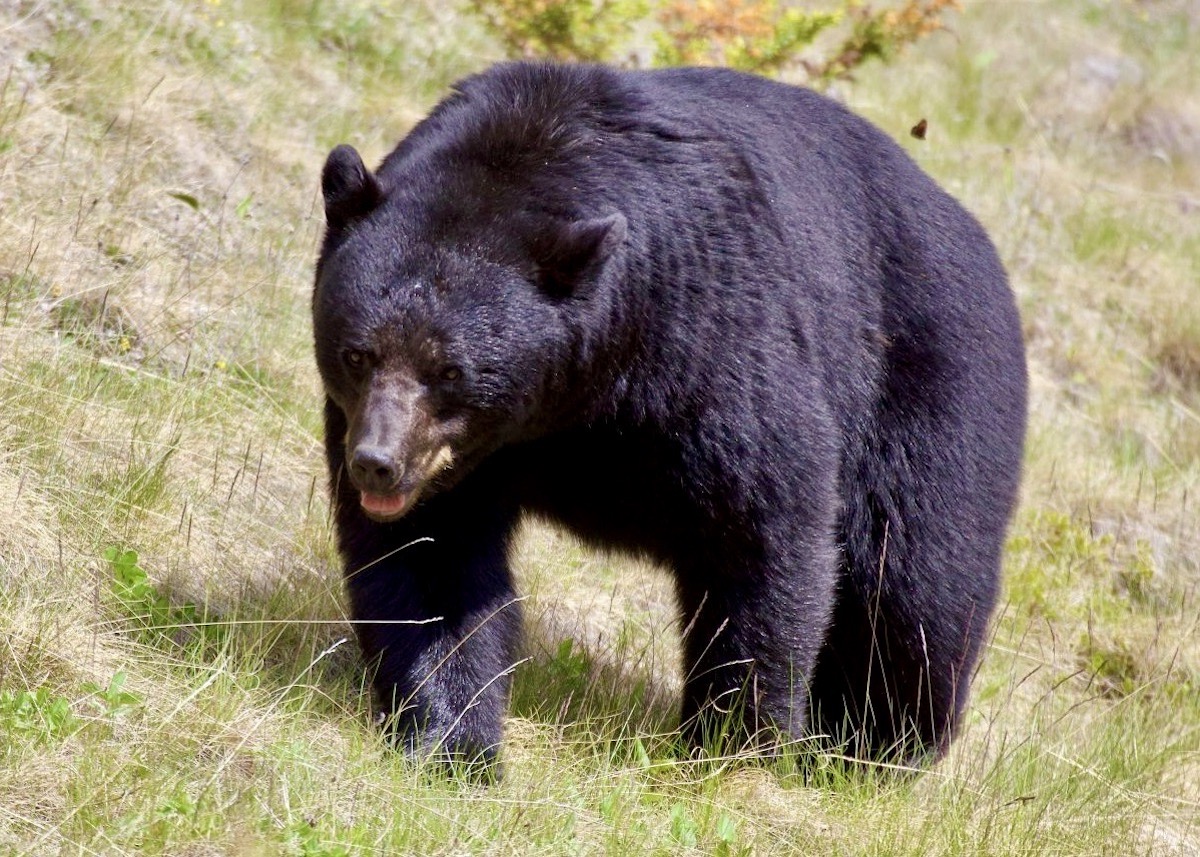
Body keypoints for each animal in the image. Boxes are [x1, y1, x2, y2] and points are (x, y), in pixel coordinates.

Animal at [314, 61, 1027, 768]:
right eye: (357, 354)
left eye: (450, 371)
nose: (377, 464)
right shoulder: (459, 460)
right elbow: (432, 556)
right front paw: (450, 735)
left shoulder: (712, 334)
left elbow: (763, 530)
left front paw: (731, 743)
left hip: (931, 385)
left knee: (913, 592)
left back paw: (875, 745)